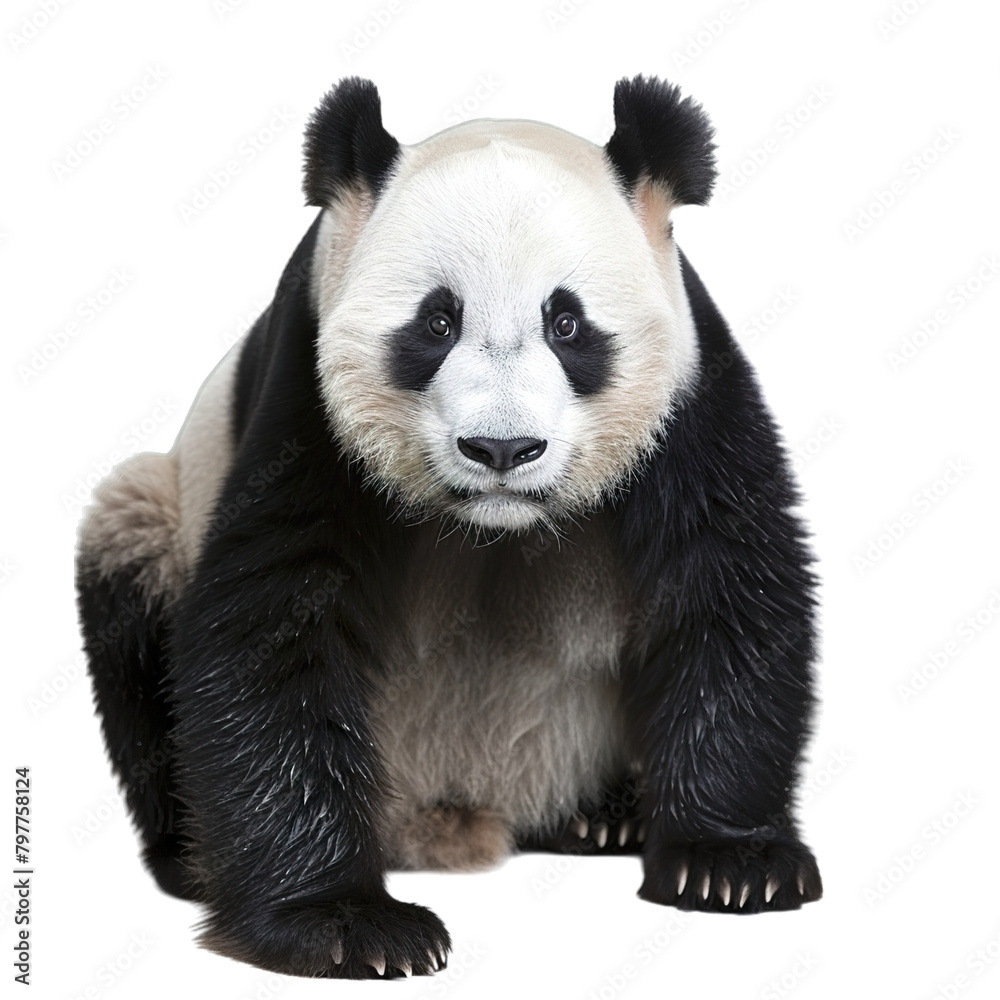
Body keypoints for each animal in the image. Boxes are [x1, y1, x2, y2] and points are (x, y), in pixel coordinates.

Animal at [76, 76, 822, 979]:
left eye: (567, 323)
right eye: (436, 322)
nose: (502, 449)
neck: (493, 526)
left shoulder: (690, 390)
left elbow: (727, 584)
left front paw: (730, 863)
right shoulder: (306, 400)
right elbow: (273, 621)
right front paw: (347, 924)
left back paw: (608, 815)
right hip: (161, 515)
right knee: (130, 566)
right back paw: (190, 855)